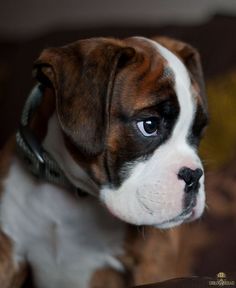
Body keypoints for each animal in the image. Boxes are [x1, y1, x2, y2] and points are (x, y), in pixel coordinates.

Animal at [0, 36, 207, 288]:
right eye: (149, 125)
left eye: (198, 131)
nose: (194, 175)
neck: (72, 190)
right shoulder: (7, 256)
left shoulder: (152, 262)